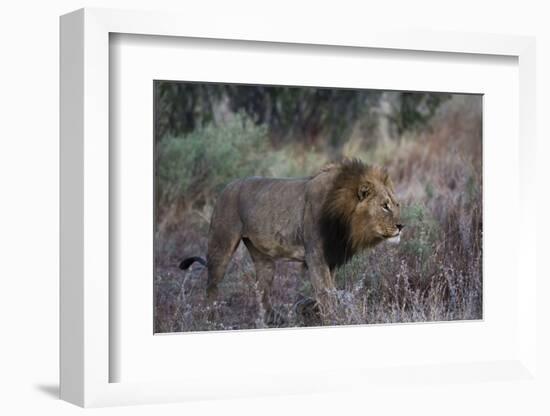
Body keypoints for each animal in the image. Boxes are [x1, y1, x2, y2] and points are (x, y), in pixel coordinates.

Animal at [181, 159, 406, 324]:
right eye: (384, 206)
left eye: (396, 204)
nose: (401, 225)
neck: (345, 220)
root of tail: (226, 187)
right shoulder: (315, 257)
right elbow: (325, 292)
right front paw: (334, 319)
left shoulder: (330, 258)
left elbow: (328, 291)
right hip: (221, 244)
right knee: (212, 284)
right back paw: (211, 319)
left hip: (264, 258)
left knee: (260, 288)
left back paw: (272, 320)